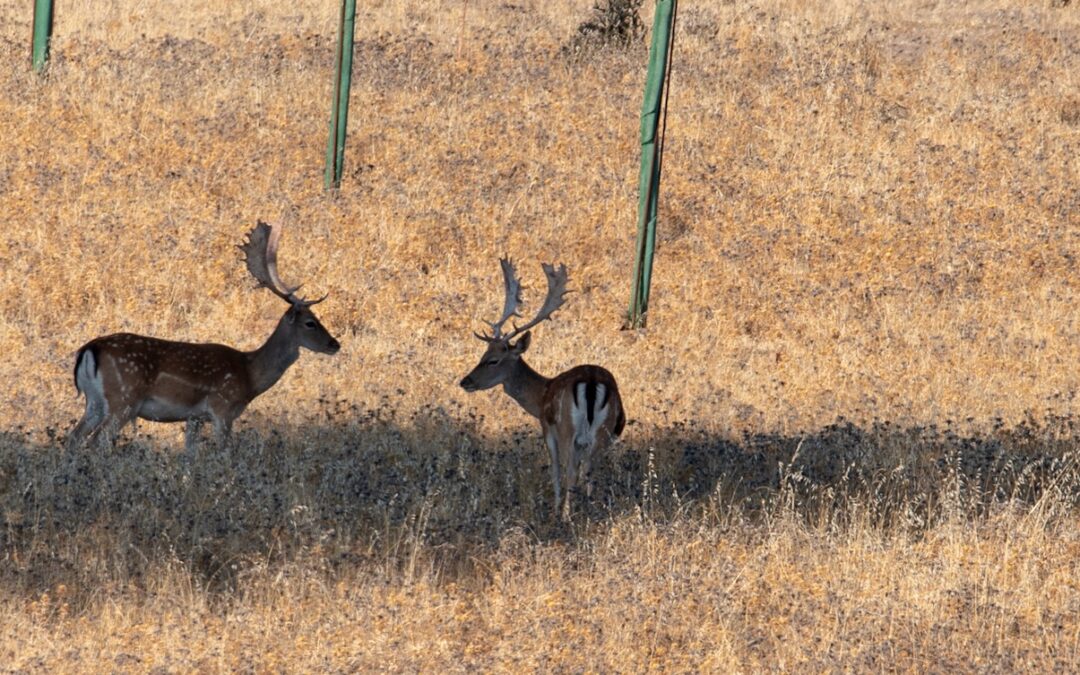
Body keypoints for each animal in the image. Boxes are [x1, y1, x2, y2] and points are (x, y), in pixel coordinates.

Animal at [67, 222, 336, 453]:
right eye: (310, 322)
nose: (335, 344)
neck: (249, 375)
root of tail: (89, 350)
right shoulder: (222, 408)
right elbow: (225, 452)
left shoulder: (194, 417)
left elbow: (190, 454)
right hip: (124, 399)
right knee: (96, 441)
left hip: (94, 402)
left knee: (74, 437)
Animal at [462, 258, 630, 520]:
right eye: (483, 354)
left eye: (493, 360)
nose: (465, 381)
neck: (541, 395)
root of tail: (592, 383)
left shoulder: (547, 428)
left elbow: (555, 470)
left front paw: (557, 508)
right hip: (604, 432)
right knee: (591, 471)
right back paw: (589, 510)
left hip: (569, 429)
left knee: (571, 470)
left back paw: (566, 516)